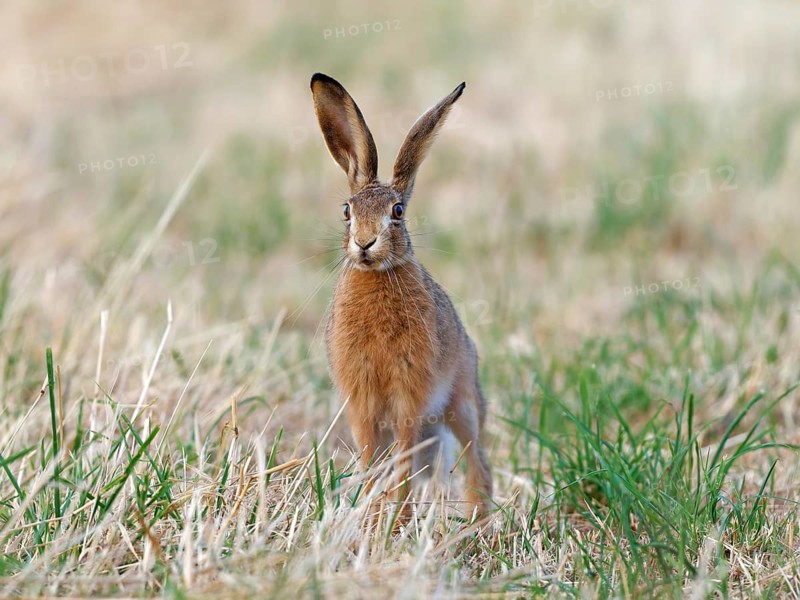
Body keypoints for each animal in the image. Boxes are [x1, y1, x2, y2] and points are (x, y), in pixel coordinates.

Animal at [310, 73, 493, 517]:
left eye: (397, 212)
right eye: (346, 211)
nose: (364, 243)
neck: (377, 276)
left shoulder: (410, 395)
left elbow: (405, 467)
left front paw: (397, 519)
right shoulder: (362, 402)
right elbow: (370, 462)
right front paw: (371, 515)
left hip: (461, 401)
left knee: (477, 462)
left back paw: (478, 521)